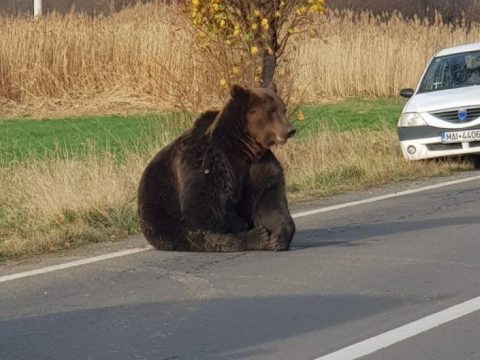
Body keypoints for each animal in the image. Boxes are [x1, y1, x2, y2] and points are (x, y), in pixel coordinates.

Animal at [139, 83, 294, 253]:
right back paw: (256, 237)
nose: (289, 130)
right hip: (164, 219)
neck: (242, 148)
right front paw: (258, 233)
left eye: (283, 109)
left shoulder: (259, 167)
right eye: (271, 111)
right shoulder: (207, 161)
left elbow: (269, 202)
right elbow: (204, 207)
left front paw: (278, 239)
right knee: (205, 237)